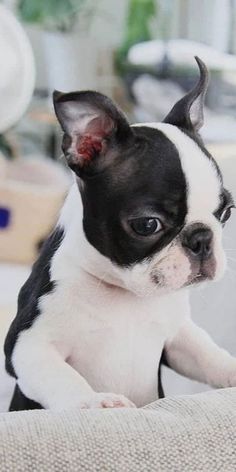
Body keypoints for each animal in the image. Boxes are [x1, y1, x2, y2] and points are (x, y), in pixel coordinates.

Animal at [0, 56, 235, 412]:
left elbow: (207, 354)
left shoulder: (178, 336)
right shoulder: (28, 343)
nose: (202, 240)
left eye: (226, 213)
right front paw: (95, 403)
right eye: (148, 225)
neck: (124, 295)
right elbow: (61, 378)